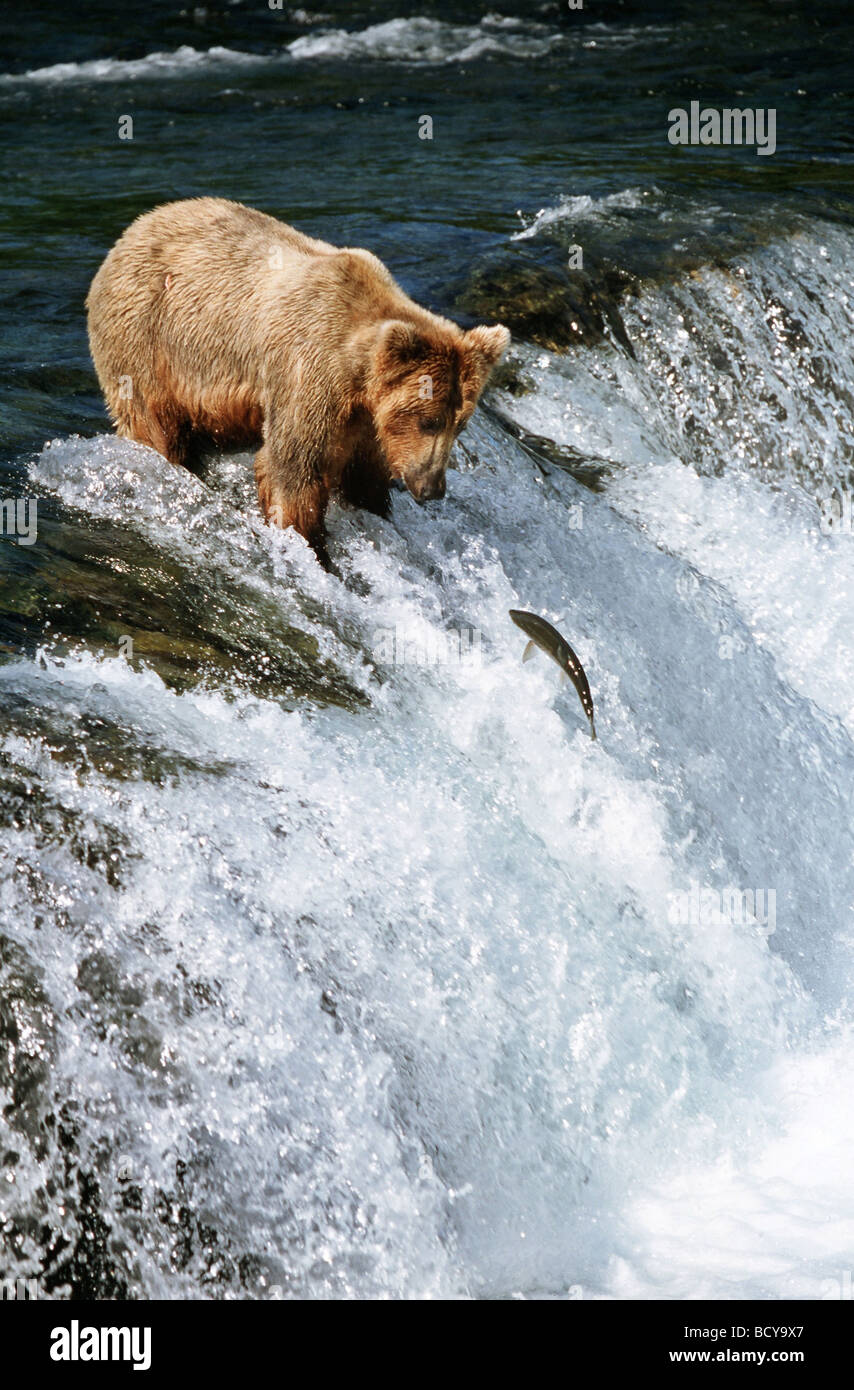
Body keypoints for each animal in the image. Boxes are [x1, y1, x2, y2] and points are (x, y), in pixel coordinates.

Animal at [86, 195, 511, 564]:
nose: (432, 488)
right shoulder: (308, 371)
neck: (357, 377)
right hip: (147, 336)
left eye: (460, 424)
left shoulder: (366, 420)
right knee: (154, 422)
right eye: (429, 420)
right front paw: (313, 548)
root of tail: (134, 228)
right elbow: (294, 468)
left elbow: (364, 476)